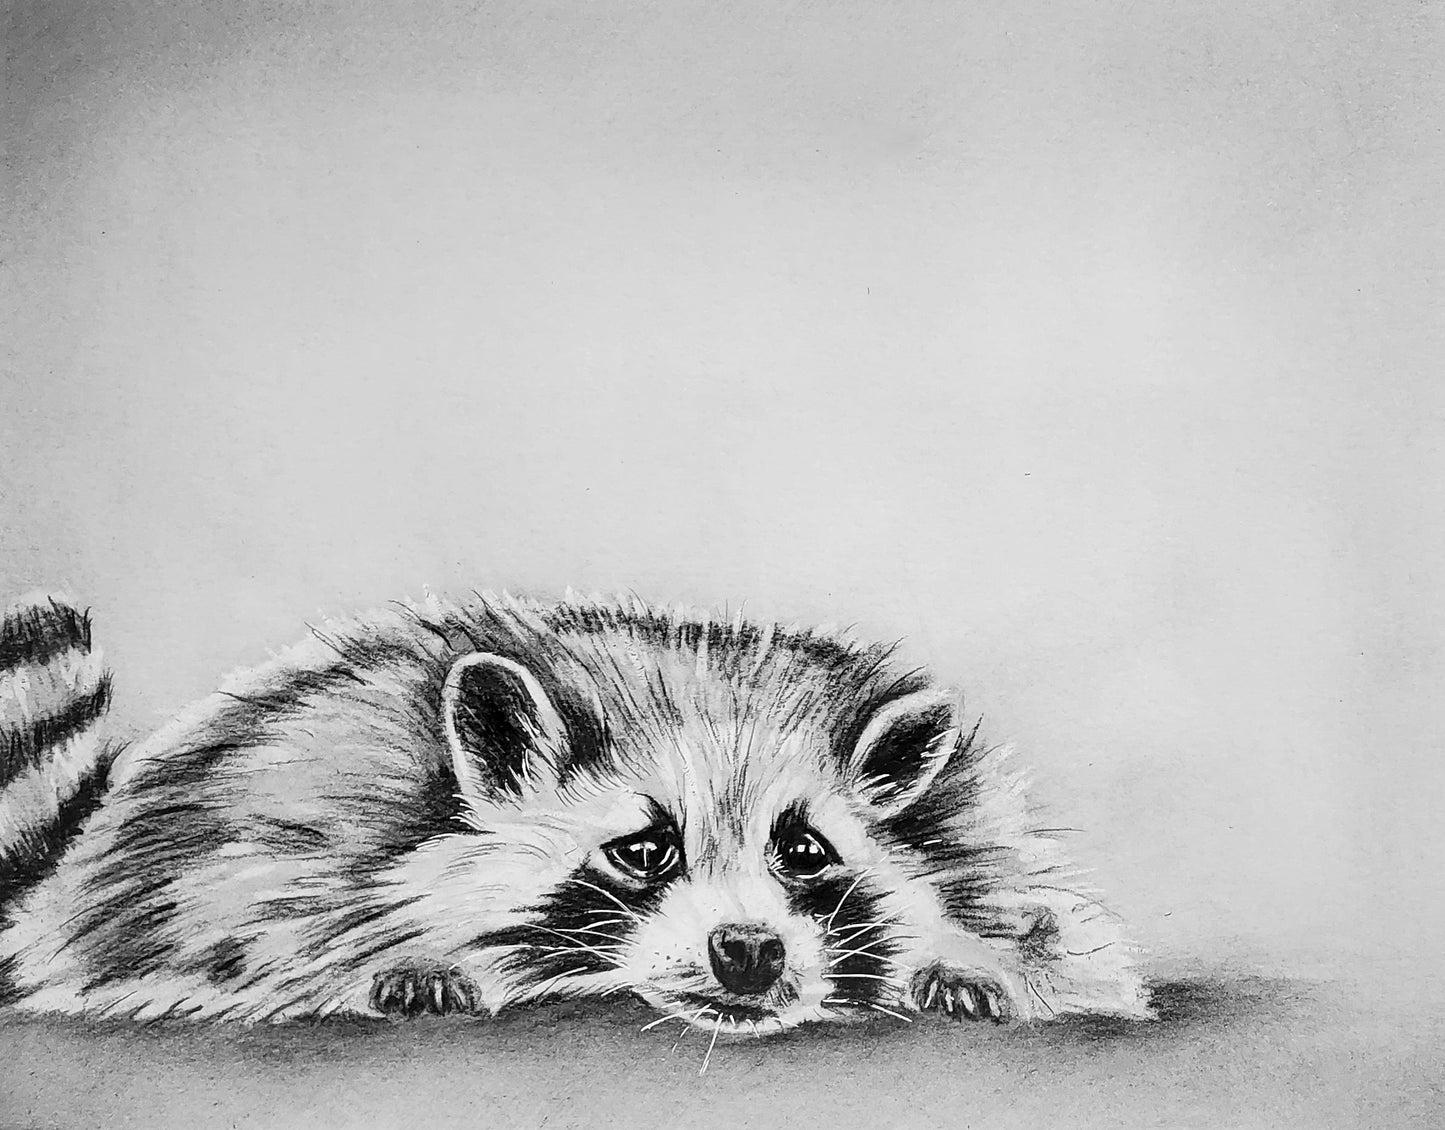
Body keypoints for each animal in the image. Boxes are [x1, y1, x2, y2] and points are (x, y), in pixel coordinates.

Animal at [0, 590, 1153, 1033]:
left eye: (804, 850)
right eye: (642, 848)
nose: (750, 951)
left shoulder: (978, 841)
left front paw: (961, 960)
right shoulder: (268, 848)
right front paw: (412, 962)